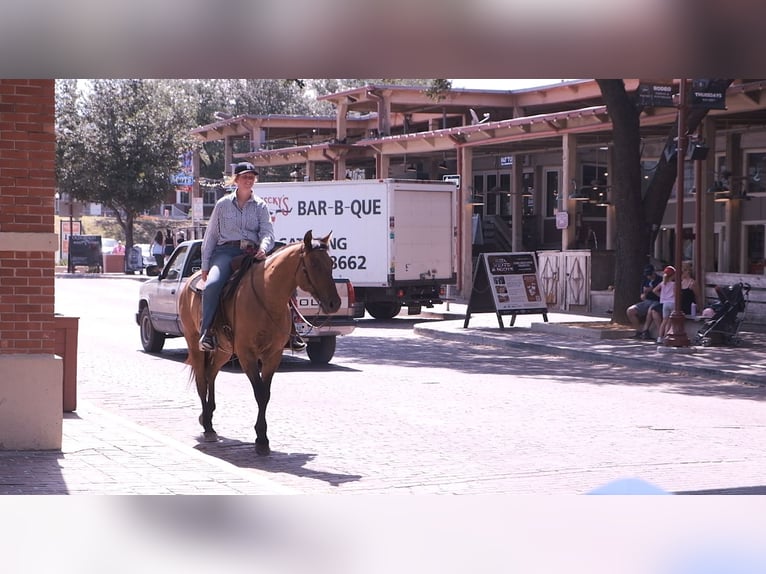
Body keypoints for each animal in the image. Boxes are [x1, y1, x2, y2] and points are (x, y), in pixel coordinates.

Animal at [178, 232, 340, 456]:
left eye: (331, 263)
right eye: (314, 264)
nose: (335, 303)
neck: (266, 298)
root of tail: (188, 282)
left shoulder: (273, 355)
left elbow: (266, 394)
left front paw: (262, 438)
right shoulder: (247, 355)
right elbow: (259, 393)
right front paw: (261, 438)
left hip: (224, 351)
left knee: (211, 374)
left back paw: (207, 417)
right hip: (195, 344)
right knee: (202, 380)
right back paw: (208, 428)